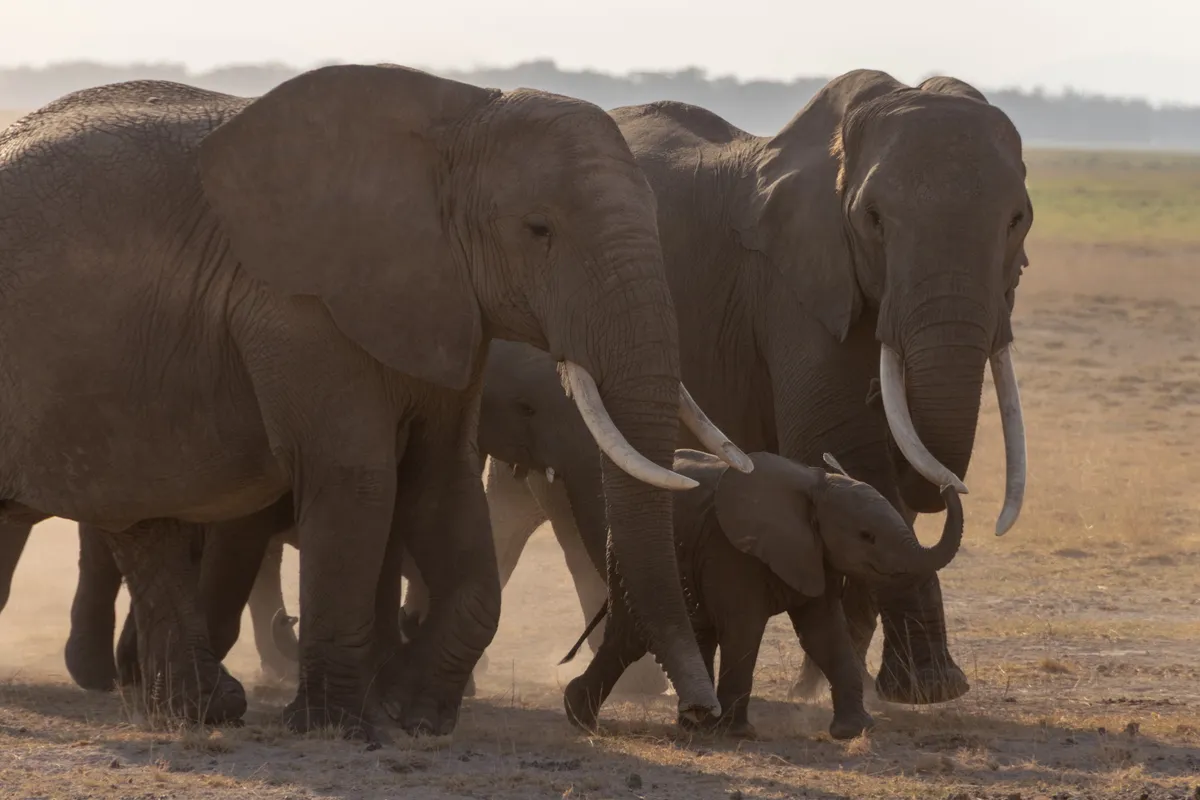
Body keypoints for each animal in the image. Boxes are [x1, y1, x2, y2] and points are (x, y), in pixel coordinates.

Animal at [0, 63, 753, 739]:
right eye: (539, 228)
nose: (697, 712)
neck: (458, 121)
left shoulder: (443, 311)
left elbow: (443, 482)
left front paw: (416, 716)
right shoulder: (300, 310)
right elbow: (357, 480)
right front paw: (338, 727)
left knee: (140, 521)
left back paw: (202, 709)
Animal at [417, 70, 1032, 708]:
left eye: (1019, 220)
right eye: (875, 219)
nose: (949, 490)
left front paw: (853, 689)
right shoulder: (791, 286)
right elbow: (841, 445)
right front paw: (923, 691)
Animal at [559, 450, 965, 739]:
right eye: (867, 536)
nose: (950, 485)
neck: (815, 485)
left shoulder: (814, 554)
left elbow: (824, 633)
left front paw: (856, 730)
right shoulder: (731, 552)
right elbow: (744, 630)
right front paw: (739, 734)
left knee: (687, 634)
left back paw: (687, 724)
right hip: (627, 558)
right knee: (632, 636)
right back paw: (584, 717)